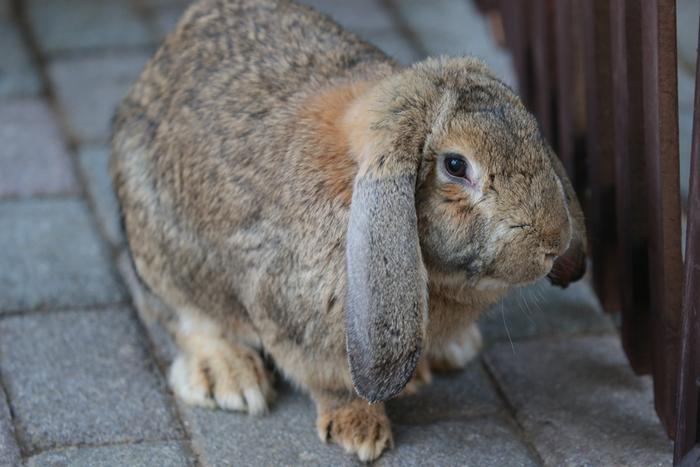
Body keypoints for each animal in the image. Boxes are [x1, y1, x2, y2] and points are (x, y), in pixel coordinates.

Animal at [112, 0, 588, 460]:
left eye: (533, 134)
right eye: (456, 165)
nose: (553, 242)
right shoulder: (296, 316)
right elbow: (332, 382)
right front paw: (361, 433)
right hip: (163, 255)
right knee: (184, 317)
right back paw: (232, 379)